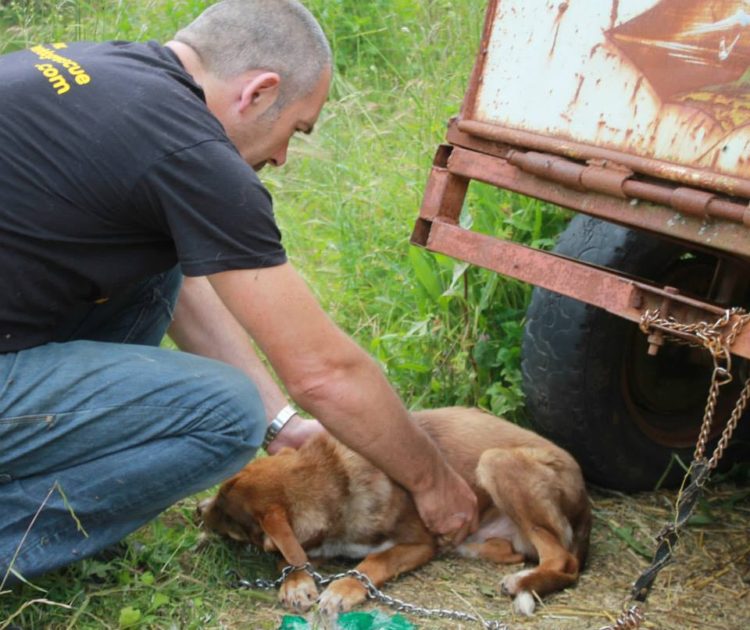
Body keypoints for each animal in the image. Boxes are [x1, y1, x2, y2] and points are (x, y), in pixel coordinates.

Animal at [198, 408, 592, 620]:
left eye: (225, 513)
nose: (197, 511)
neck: (336, 478)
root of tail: (585, 499)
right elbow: (290, 558)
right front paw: (296, 583)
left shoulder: (418, 544)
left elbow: (373, 562)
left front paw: (342, 588)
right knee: (515, 551)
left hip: (496, 461)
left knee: (562, 561)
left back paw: (523, 582)